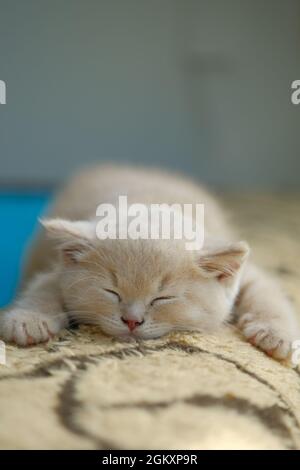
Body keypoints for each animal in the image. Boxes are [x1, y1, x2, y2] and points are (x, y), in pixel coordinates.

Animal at [0, 166, 298, 360]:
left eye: (162, 298)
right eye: (112, 292)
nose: (132, 321)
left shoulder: (248, 272)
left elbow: (267, 292)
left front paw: (277, 334)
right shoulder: (59, 269)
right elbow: (44, 284)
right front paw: (28, 320)